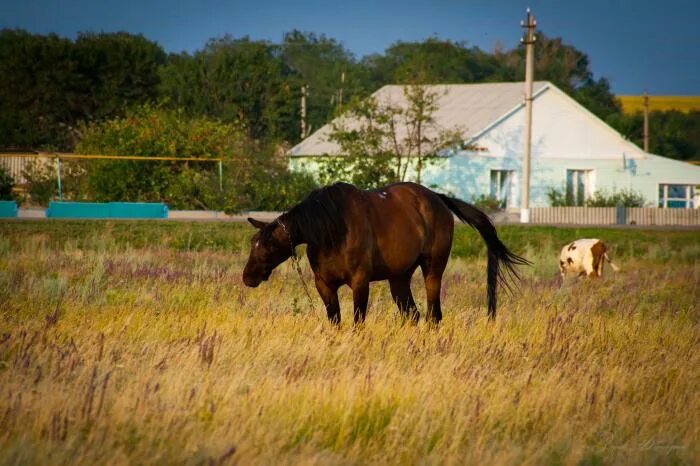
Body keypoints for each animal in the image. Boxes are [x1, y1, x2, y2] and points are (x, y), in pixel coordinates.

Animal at [243, 182, 528, 324]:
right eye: (252, 242)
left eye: (268, 246)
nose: (248, 277)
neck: (332, 228)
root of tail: (437, 198)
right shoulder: (324, 285)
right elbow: (335, 320)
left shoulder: (360, 283)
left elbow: (358, 321)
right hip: (399, 277)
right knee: (412, 316)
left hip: (433, 269)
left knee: (433, 315)